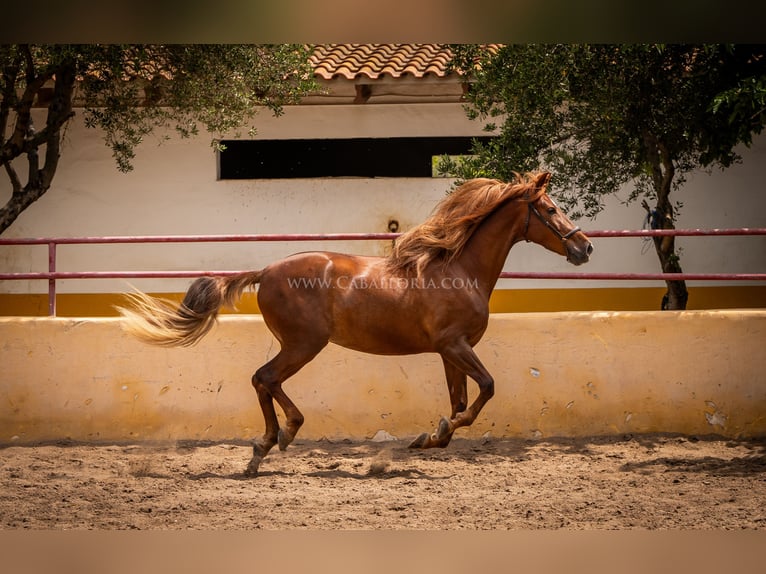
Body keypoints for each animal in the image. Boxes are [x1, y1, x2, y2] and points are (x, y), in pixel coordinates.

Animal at [118, 172, 592, 476]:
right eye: (551, 209)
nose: (584, 248)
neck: (459, 269)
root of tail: (266, 270)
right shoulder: (456, 345)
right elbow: (487, 389)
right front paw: (430, 435)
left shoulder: (449, 351)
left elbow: (459, 405)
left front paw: (429, 437)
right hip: (304, 344)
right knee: (264, 378)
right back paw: (273, 442)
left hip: (301, 345)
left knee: (264, 380)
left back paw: (272, 443)